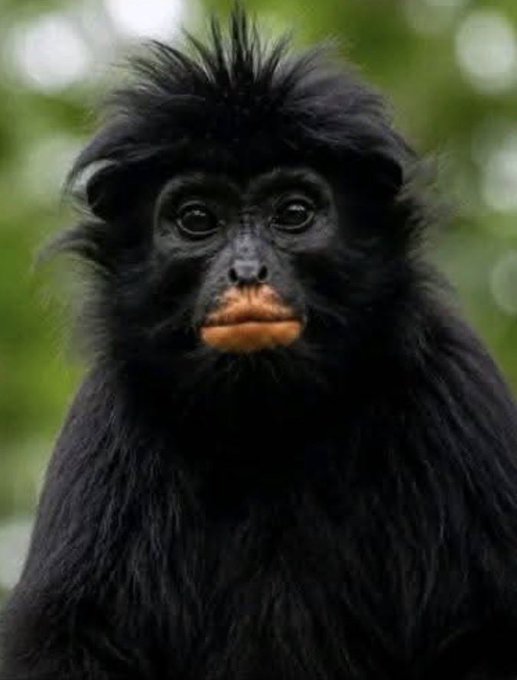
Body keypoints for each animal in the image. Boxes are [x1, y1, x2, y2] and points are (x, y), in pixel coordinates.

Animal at [2, 7, 517, 680]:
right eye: (198, 219)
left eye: (292, 213)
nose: (247, 271)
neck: (274, 431)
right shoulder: (110, 419)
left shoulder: (454, 381)